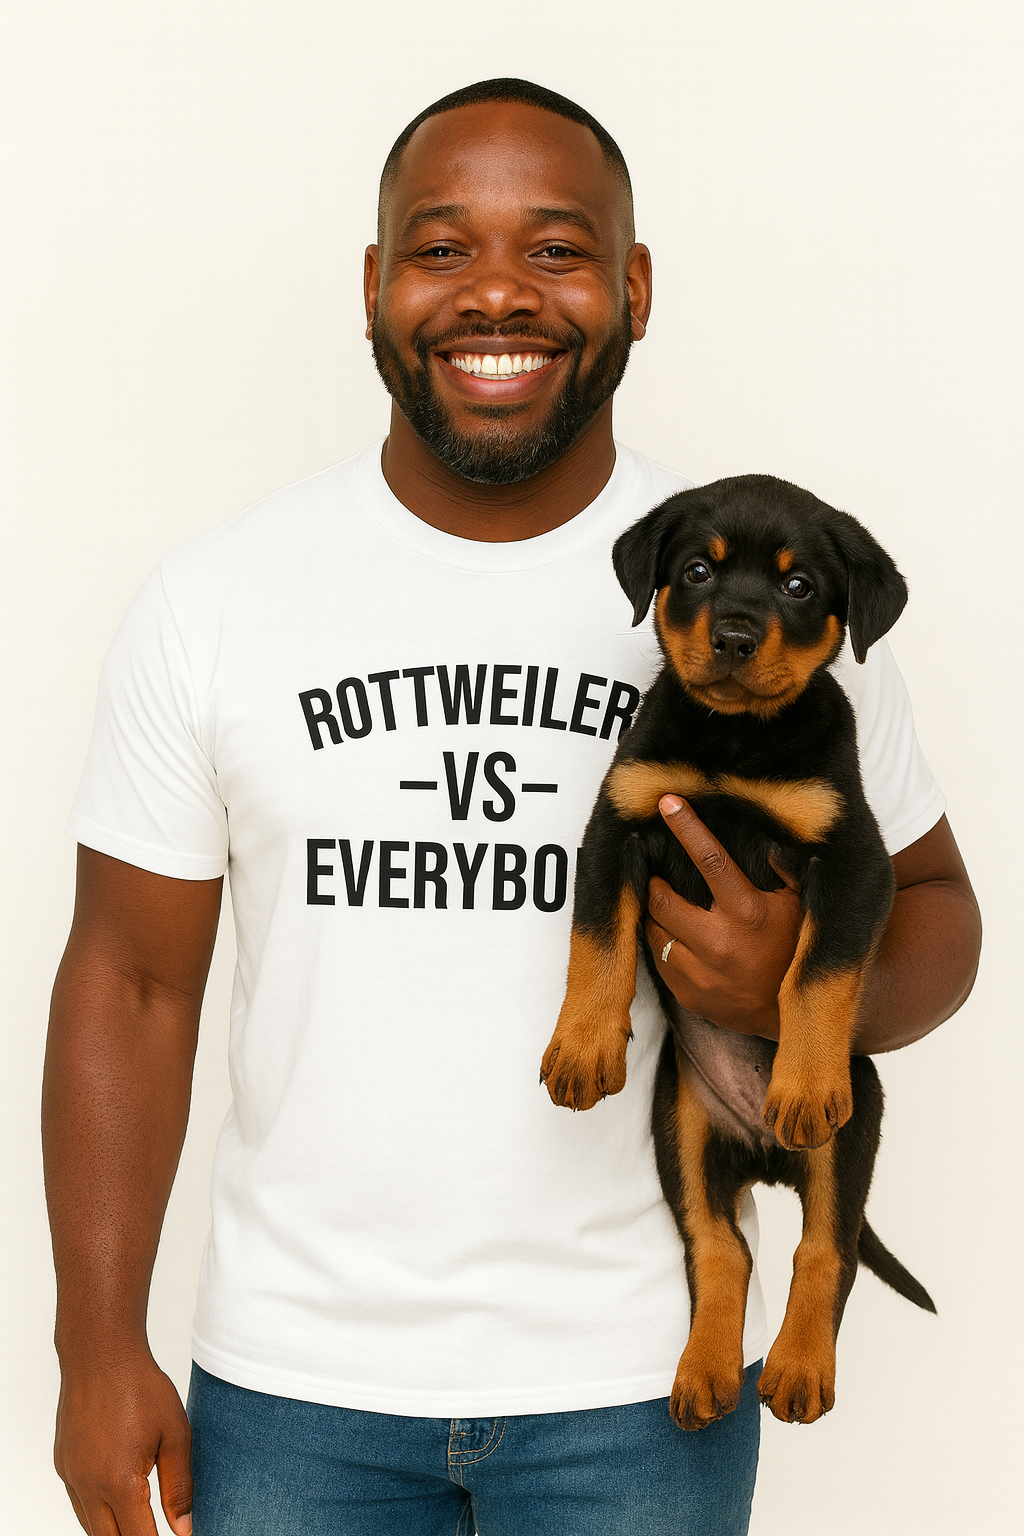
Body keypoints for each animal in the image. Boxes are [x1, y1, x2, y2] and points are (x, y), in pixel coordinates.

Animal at [540, 473, 935, 1429]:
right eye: (696, 571)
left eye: (798, 586)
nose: (733, 636)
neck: (733, 741)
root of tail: (763, 1154)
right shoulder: (618, 825)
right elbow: (595, 940)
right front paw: (581, 1046)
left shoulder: (854, 861)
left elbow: (817, 974)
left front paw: (801, 1079)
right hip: (678, 1128)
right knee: (721, 1248)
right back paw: (708, 1371)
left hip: (854, 1130)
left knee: (824, 1252)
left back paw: (797, 1369)